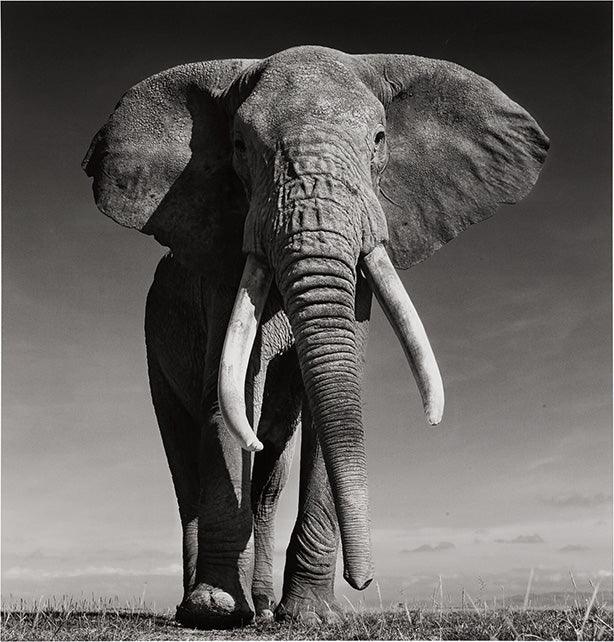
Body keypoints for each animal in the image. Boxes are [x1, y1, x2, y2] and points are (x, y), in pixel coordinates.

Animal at [82, 45, 548, 628]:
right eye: (239, 146)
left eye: (378, 139)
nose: (363, 580)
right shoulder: (219, 264)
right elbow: (228, 397)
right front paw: (216, 610)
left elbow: (335, 404)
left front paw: (311, 616)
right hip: (151, 342)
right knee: (185, 464)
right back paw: (202, 605)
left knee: (269, 473)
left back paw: (261, 610)